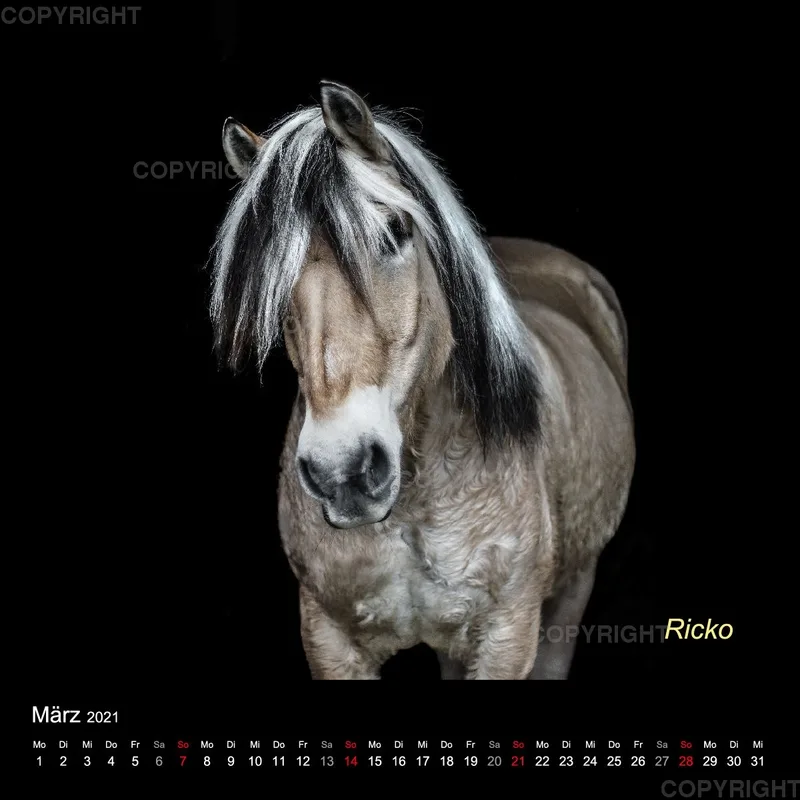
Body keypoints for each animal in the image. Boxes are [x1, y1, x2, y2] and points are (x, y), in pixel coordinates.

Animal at [210, 81, 635, 679]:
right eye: (271, 271)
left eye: (395, 231)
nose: (343, 470)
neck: (412, 503)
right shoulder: (328, 640)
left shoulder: (507, 638)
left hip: (571, 595)